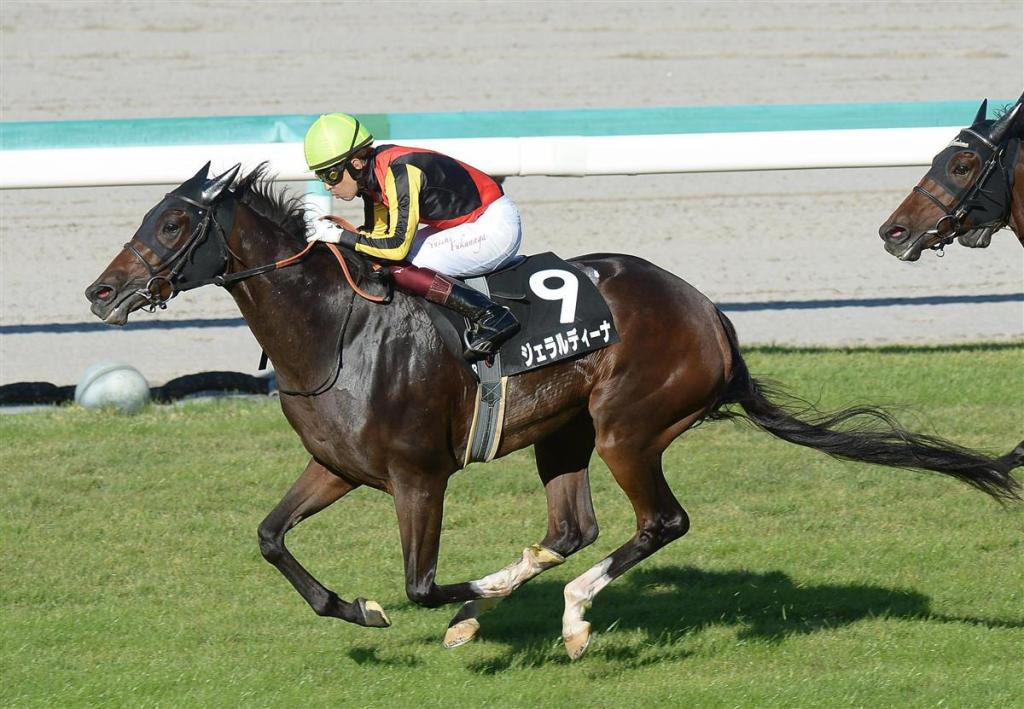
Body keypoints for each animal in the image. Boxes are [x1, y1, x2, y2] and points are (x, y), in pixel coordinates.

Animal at [85, 162, 1021, 660]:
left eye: (173, 224)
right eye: (146, 213)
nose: (100, 290)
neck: (333, 329)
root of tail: (712, 319)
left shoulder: (418, 476)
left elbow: (422, 582)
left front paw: (468, 599)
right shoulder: (337, 466)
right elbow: (273, 538)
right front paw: (360, 609)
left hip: (627, 426)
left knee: (659, 521)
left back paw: (568, 612)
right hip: (564, 433)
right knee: (573, 527)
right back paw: (534, 598)